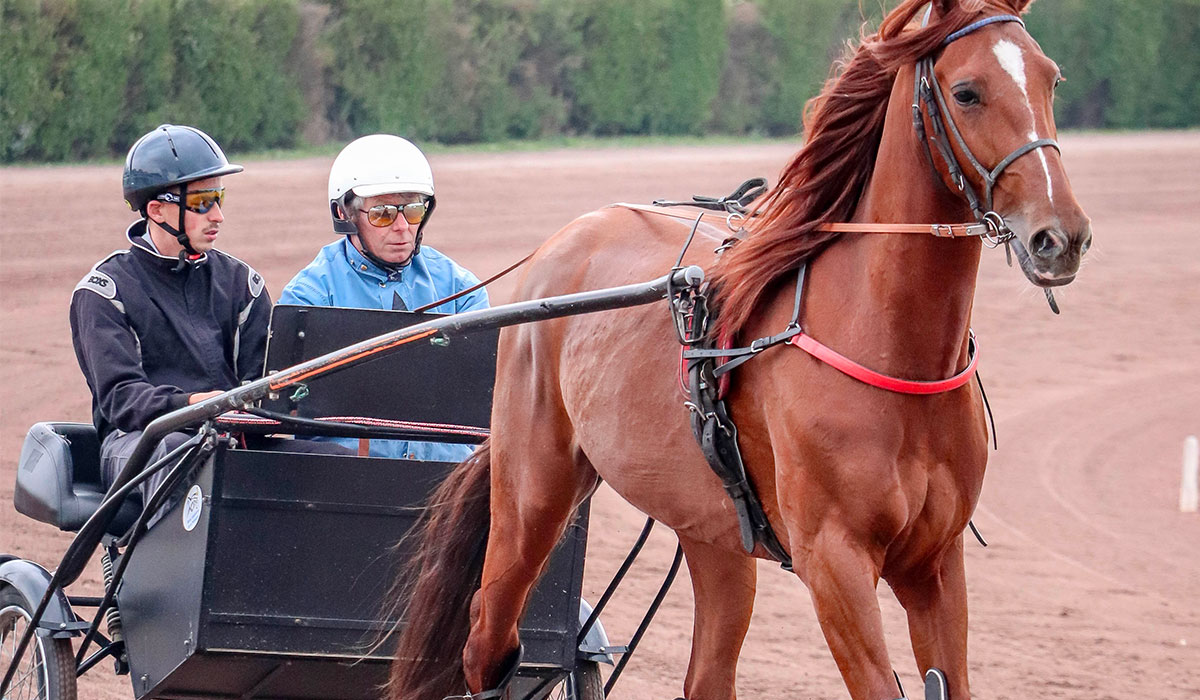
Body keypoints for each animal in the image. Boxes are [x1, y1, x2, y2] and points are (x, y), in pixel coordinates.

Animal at [391, 0, 1089, 696]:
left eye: (1051, 79)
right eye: (967, 92)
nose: (1062, 237)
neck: (892, 352)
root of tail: (561, 244)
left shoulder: (937, 563)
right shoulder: (833, 561)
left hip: (712, 528)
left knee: (705, 673)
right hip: (532, 492)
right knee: (487, 637)